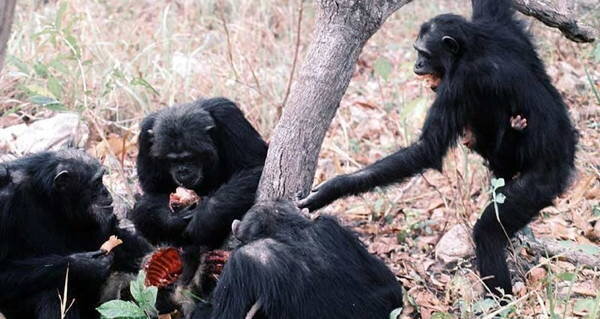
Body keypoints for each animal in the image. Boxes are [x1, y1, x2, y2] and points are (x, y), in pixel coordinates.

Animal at [0, 151, 157, 319]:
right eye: (97, 182)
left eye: (101, 180)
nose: (106, 191)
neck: (48, 197)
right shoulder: (4, 199)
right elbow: (3, 270)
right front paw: (85, 264)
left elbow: (112, 234)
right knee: (51, 292)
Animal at [300, 0, 576, 298]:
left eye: (423, 52)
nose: (417, 64)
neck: (471, 48)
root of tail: (568, 163)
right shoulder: (501, 27)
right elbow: (493, 7)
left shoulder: (461, 84)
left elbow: (428, 148)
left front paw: (331, 189)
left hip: (539, 185)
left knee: (489, 232)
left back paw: (498, 299)